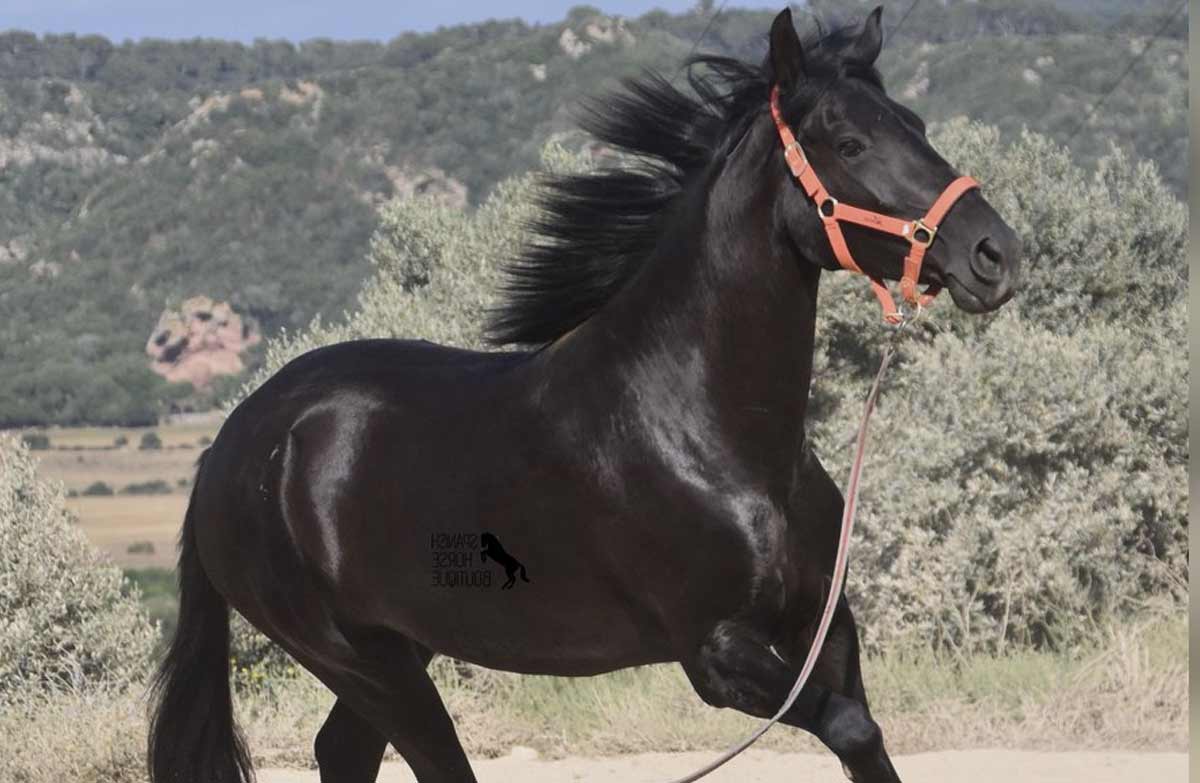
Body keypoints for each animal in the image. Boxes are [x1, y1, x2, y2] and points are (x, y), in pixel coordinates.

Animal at [149, 8, 1019, 783]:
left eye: (915, 122)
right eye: (849, 142)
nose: (995, 252)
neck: (710, 433)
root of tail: (232, 446)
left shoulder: (824, 628)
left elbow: (866, 740)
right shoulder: (716, 651)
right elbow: (850, 726)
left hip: (398, 641)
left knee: (344, 751)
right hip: (361, 659)